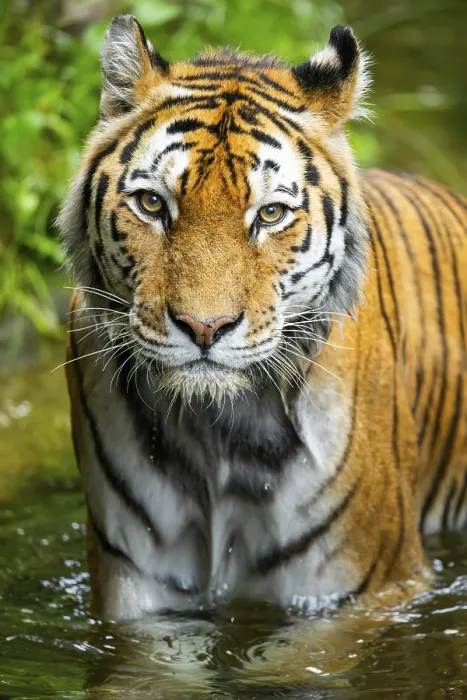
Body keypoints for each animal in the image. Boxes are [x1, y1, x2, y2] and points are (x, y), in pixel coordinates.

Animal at [59, 14, 467, 622]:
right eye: (153, 204)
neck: (217, 434)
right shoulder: (138, 592)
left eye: (270, 213)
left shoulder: (357, 594)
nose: (204, 328)